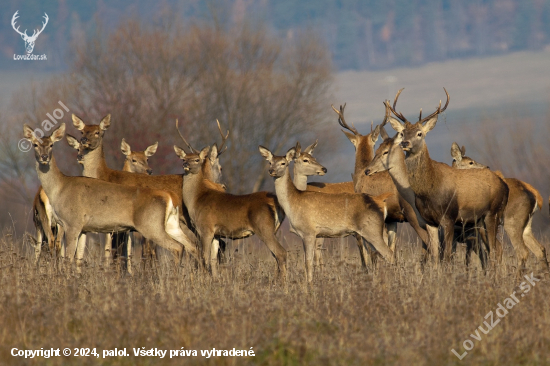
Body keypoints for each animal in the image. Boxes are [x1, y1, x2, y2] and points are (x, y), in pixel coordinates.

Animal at [24, 123, 201, 268]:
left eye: (51, 144)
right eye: (35, 144)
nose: (44, 157)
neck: (60, 188)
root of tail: (170, 197)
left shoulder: (72, 223)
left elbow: (68, 259)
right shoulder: (83, 228)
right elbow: (78, 258)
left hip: (151, 225)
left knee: (177, 247)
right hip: (171, 224)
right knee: (191, 245)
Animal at [260, 145, 394, 284]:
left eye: (283, 163)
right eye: (270, 162)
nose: (271, 171)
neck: (293, 202)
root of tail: (380, 199)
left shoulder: (309, 232)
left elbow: (308, 262)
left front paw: (309, 285)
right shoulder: (306, 235)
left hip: (372, 229)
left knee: (389, 254)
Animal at [378, 88, 512, 266]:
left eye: (420, 133)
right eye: (403, 133)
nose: (405, 143)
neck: (429, 189)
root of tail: (505, 185)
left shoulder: (449, 217)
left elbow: (447, 257)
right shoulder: (430, 222)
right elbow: (436, 257)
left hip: (493, 212)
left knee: (495, 249)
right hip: (479, 220)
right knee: (492, 249)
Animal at [450, 143, 548, 272]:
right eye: (470, 162)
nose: (487, 167)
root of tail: (536, 195)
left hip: (511, 222)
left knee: (521, 252)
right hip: (525, 225)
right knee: (540, 249)